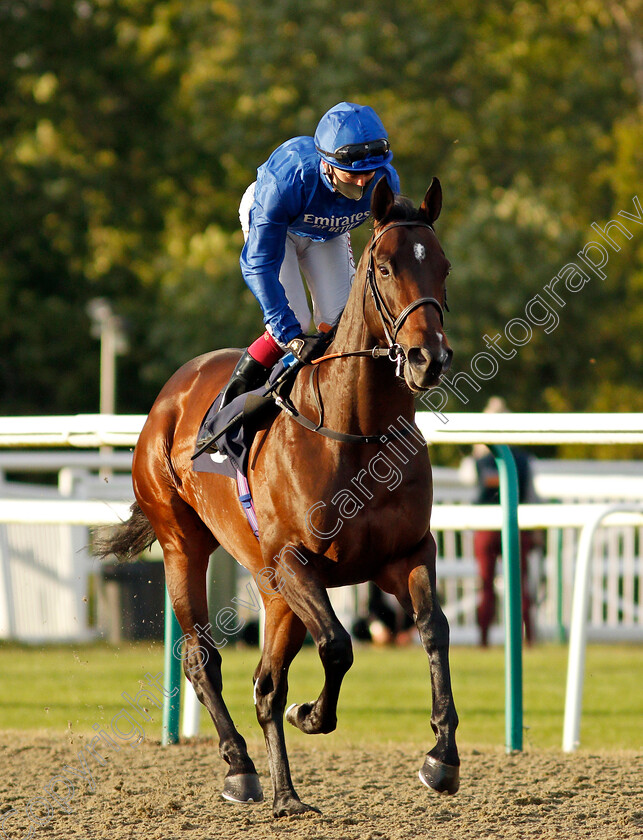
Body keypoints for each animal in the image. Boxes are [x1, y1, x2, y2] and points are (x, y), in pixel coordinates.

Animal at [95, 176, 458, 812]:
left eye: (443, 266)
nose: (427, 358)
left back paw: (287, 793)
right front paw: (311, 714)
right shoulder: (294, 559)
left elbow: (432, 630)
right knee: (202, 657)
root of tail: (171, 394)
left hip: (271, 588)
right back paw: (241, 768)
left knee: (266, 683)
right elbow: (337, 645)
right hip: (185, 545)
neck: (358, 431)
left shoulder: (406, 553)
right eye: (385, 267)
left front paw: (441, 757)